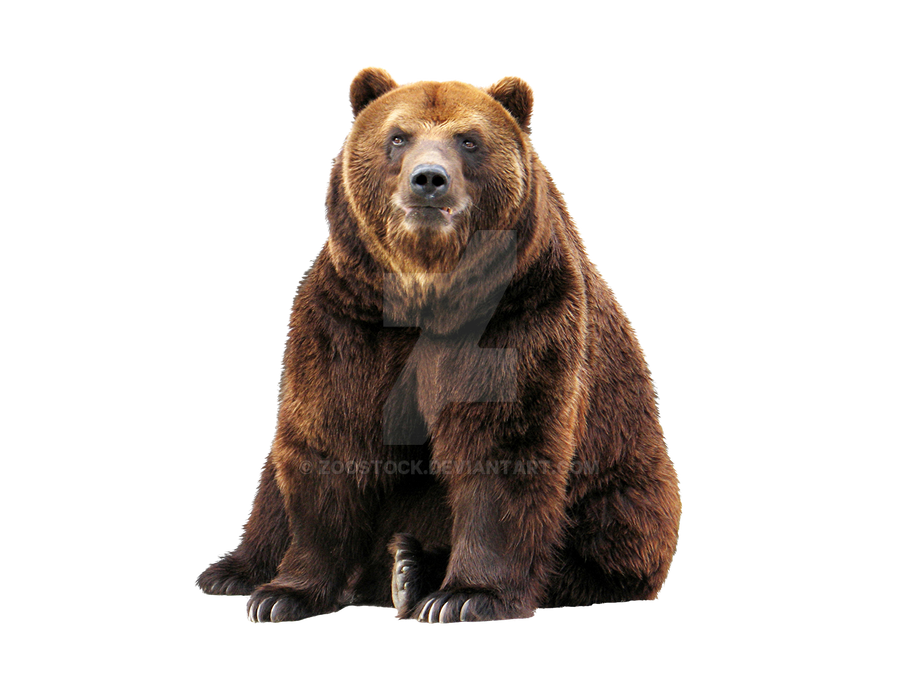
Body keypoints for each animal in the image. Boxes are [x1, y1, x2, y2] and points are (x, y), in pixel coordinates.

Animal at [195, 66, 682, 624]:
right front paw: (283, 593)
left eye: (468, 140)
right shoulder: (350, 321)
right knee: (275, 482)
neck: (427, 292)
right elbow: (331, 437)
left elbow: (502, 445)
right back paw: (236, 570)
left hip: (625, 478)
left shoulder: (519, 317)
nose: (429, 179)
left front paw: (466, 595)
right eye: (397, 136)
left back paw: (412, 569)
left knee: (607, 533)